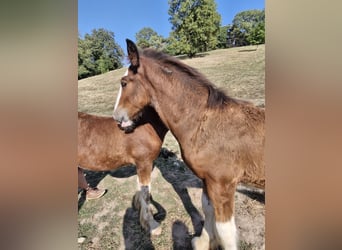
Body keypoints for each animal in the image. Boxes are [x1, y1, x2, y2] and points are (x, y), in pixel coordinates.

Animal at [113, 39, 266, 248]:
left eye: (124, 83)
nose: (116, 117)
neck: (203, 122)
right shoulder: (208, 180)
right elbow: (207, 209)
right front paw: (203, 242)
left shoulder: (223, 185)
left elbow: (225, 231)